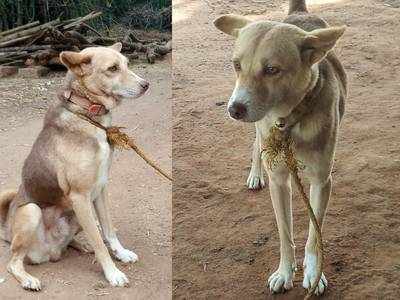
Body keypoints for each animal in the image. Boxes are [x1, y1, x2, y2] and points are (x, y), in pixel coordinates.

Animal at [0, 42, 150, 290]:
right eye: (113, 68)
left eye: (127, 64)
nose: (146, 85)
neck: (88, 114)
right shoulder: (80, 196)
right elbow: (100, 243)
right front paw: (112, 273)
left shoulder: (100, 188)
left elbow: (108, 230)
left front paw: (121, 253)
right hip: (33, 212)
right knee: (13, 262)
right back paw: (29, 279)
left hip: (78, 213)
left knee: (80, 237)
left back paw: (81, 245)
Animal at [216, 0, 346, 296]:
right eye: (236, 65)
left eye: (272, 70)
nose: (234, 109)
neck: (289, 121)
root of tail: (299, 13)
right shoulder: (278, 180)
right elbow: (285, 234)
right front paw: (285, 272)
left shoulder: (322, 181)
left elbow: (314, 234)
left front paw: (313, 273)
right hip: (259, 128)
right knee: (255, 146)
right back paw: (255, 174)